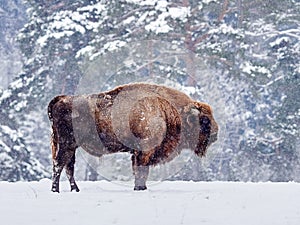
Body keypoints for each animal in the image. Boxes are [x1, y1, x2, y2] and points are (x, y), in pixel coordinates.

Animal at [48, 82, 218, 192]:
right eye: (205, 120)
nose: (215, 134)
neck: (168, 110)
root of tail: (61, 99)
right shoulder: (144, 151)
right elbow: (141, 171)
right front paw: (140, 188)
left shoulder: (139, 153)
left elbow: (140, 171)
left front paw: (141, 187)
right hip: (66, 144)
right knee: (59, 165)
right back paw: (56, 190)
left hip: (70, 146)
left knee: (68, 167)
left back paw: (75, 190)